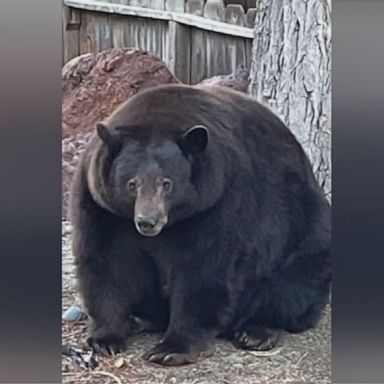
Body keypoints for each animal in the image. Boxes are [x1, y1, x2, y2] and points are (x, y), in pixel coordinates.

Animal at [70, 83, 332, 366]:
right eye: (132, 183)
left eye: (167, 183)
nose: (147, 221)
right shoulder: (102, 206)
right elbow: (106, 262)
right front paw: (105, 338)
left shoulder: (219, 201)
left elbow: (204, 270)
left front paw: (170, 348)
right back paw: (141, 319)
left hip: (303, 228)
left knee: (295, 281)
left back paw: (256, 331)